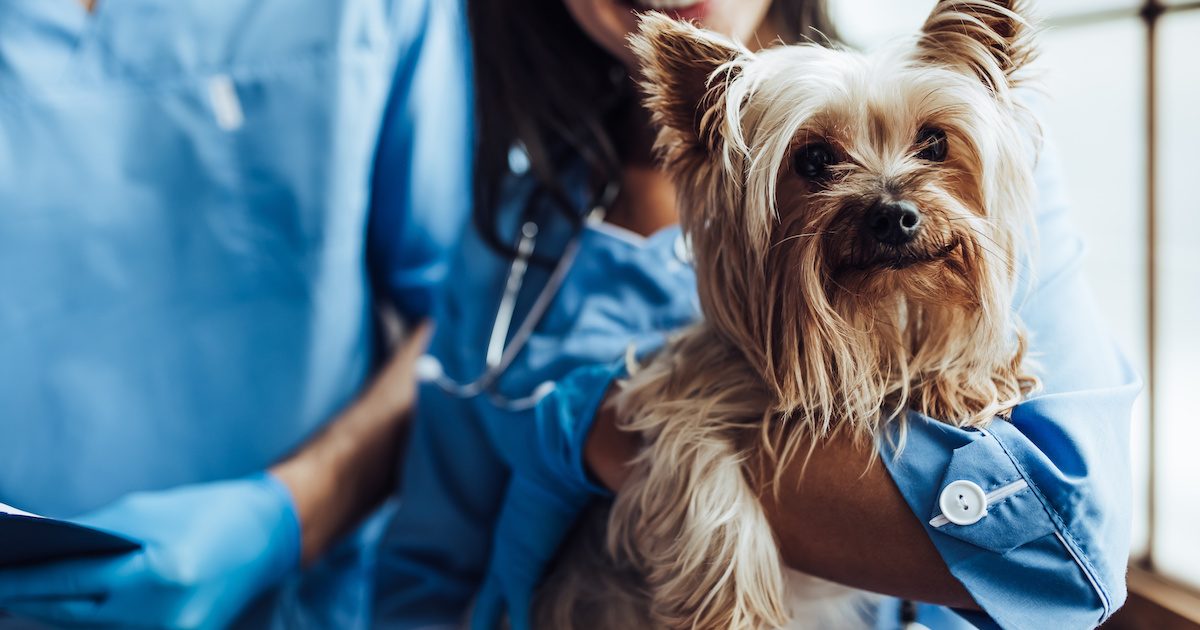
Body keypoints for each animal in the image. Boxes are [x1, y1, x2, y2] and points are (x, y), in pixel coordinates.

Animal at [535, 2, 1041, 624]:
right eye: (814, 158)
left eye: (934, 143)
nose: (895, 214)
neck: (866, 316)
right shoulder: (672, 399)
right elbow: (702, 480)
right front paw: (730, 613)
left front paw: (965, 376)